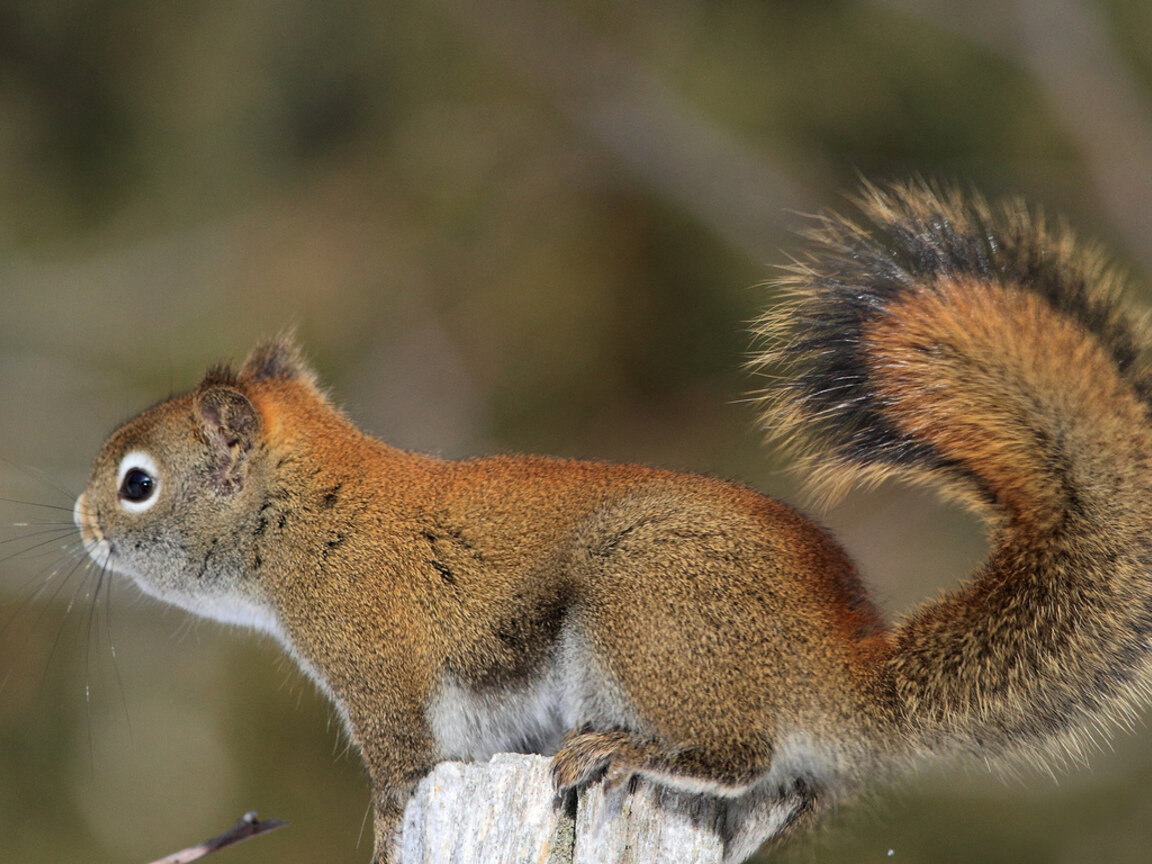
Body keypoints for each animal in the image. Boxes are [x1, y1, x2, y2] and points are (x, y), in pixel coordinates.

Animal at [74, 179, 1152, 861]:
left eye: (138, 484)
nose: (81, 523)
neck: (313, 513)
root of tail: (840, 674)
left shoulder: (378, 667)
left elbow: (399, 778)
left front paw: (381, 839)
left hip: (644, 612)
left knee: (736, 752)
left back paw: (626, 751)